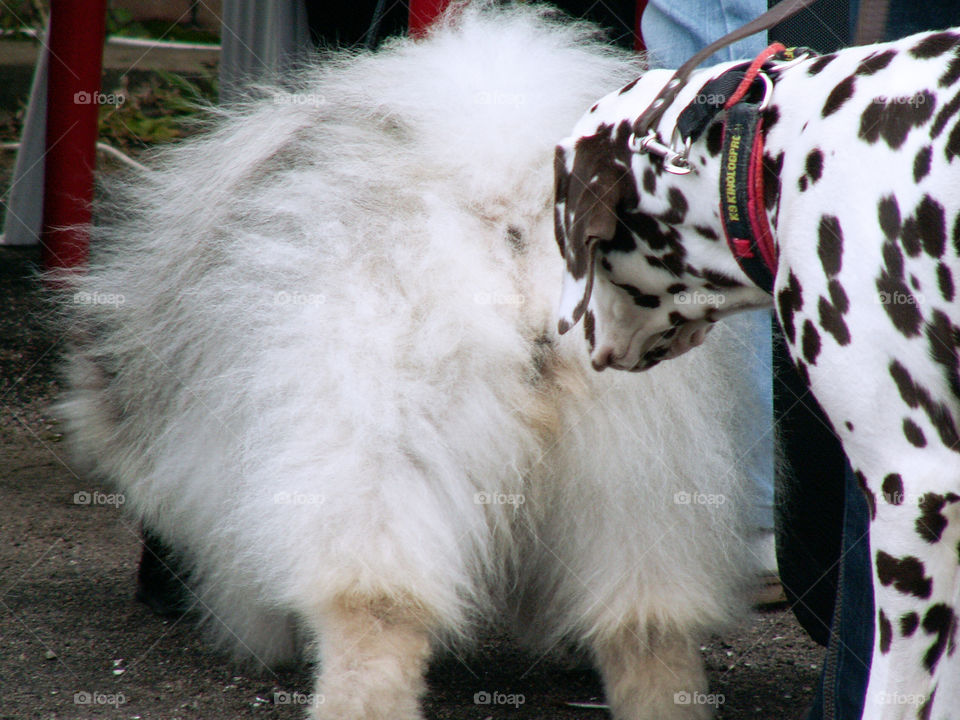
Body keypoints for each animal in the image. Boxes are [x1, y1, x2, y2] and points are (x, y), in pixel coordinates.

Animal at [58, 7, 764, 720]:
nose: (155, 586)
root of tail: (505, 206)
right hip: (640, 481)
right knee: (647, 629)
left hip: (381, 449)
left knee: (377, 610)